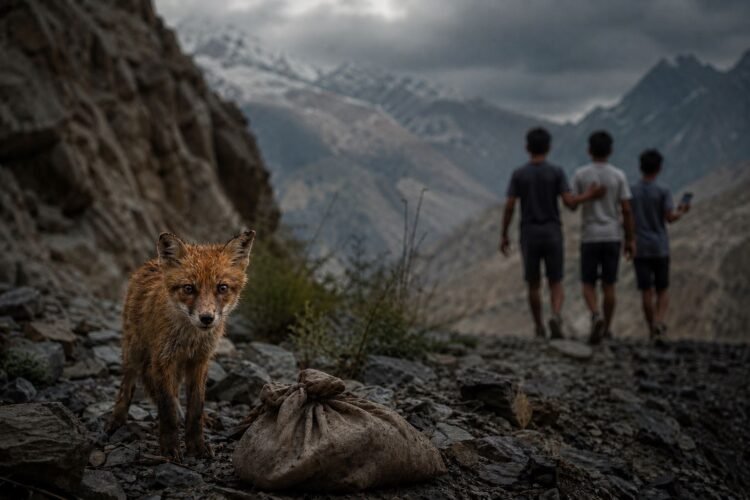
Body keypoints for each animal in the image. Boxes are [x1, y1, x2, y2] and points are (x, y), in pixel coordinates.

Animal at [108, 230, 255, 460]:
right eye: (189, 288)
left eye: (222, 288)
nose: (206, 318)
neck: (190, 340)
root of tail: (150, 263)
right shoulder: (162, 360)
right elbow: (167, 409)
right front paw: (169, 447)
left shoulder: (200, 361)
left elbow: (195, 408)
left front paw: (196, 445)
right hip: (135, 351)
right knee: (128, 384)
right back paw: (117, 419)